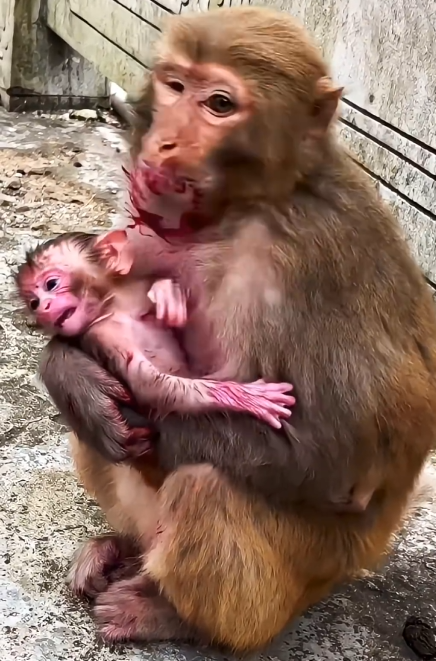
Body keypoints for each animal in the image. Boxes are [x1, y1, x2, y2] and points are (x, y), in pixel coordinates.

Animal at [17, 231, 295, 433]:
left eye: (51, 284)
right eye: (34, 302)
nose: (43, 307)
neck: (115, 307)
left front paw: (166, 295)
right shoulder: (104, 334)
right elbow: (147, 383)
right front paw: (241, 397)